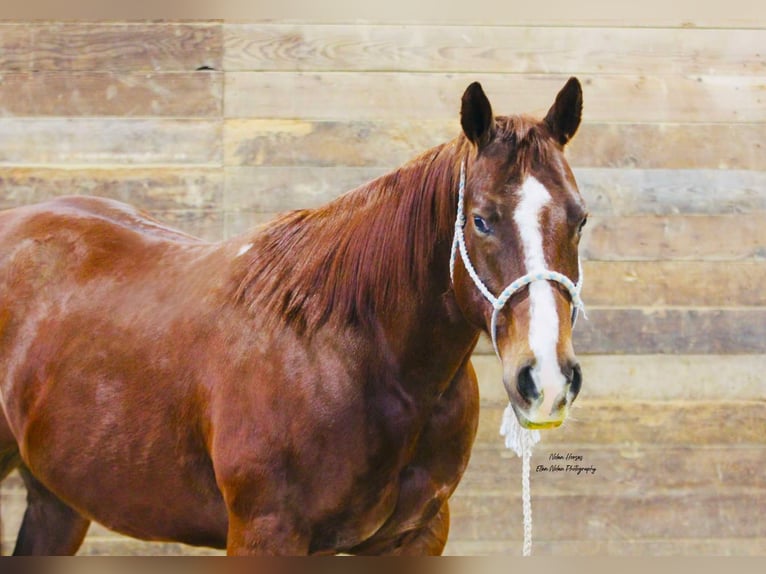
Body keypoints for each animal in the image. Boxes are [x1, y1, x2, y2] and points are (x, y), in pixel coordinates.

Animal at [0, 79, 588, 556]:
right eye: (481, 220)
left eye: (580, 218)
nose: (546, 378)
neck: (350, 355)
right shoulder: (267, 533)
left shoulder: (417, 536)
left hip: (57, 500)